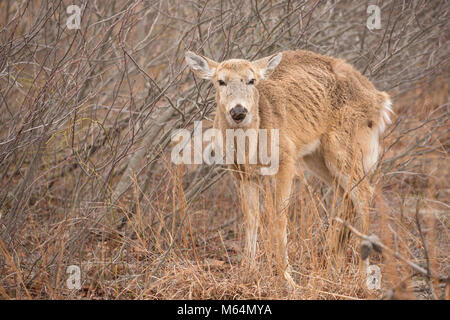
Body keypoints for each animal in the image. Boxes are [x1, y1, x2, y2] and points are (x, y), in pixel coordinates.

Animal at [185, 48, 392, 284]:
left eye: (251, 80)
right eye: (221, 81)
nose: (239, 111)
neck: (249, 147)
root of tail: (380, 99)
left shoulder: (285, 158)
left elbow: (279, 218)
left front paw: (287, 278)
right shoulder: (240, 172)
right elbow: (251, 218)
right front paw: (247, 271)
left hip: (344, 145)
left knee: (364, 192)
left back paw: (362, 276)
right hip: (317, 157)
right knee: (349, 195)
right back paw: (334, 266)